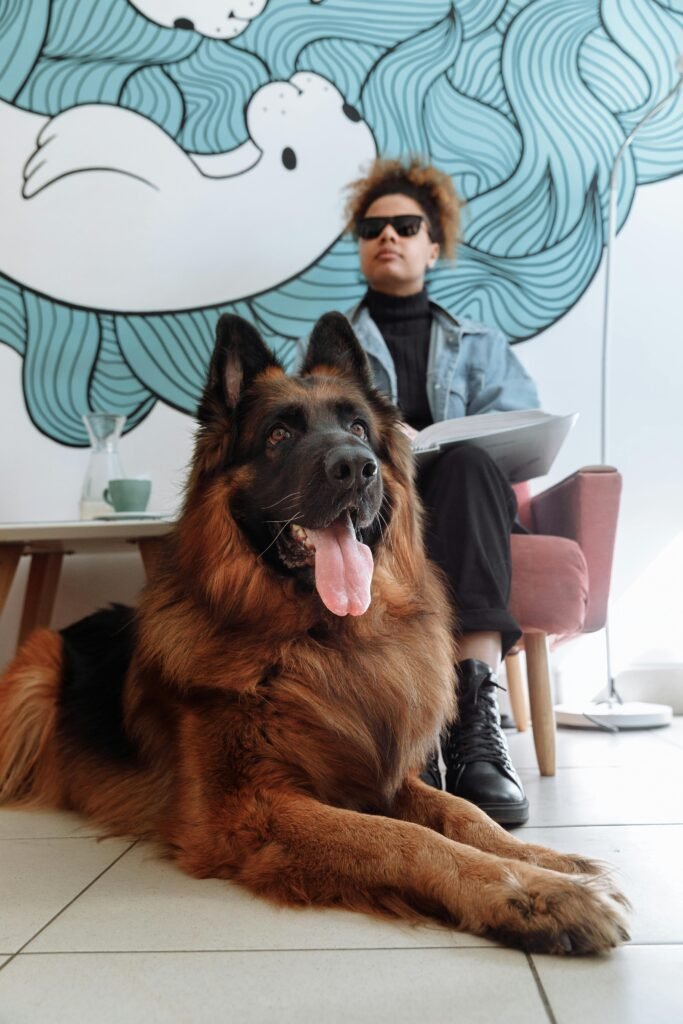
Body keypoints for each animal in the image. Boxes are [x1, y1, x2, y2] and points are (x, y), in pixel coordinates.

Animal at [0, 311, 630, 950]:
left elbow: (462, 813)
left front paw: (547, 861)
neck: (326, 642)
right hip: (38, 671)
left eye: (358, 427)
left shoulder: (381, 773)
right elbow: (406, 838)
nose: (356, 467)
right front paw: (528, 892)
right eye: (279, 435)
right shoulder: (252, 807)